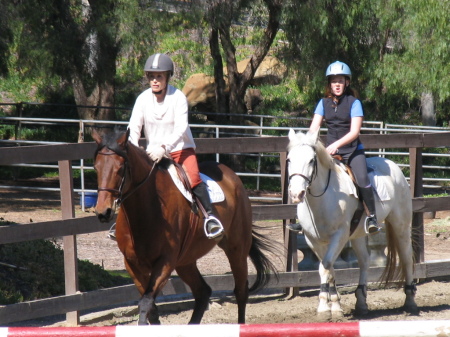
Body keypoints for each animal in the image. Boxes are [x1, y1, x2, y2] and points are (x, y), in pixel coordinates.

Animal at [92, 129, 276, 322]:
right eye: (96, 167)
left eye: (120, 168)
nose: (103, 212)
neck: (147, 210)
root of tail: (231, 175)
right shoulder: (132, 264)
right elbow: (151, 308)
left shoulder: (165, 262)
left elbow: (145, 303)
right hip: (185, 261)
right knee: (203, 291)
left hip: (236, 248)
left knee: (240, 291)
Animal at [288, 129, 418, 320]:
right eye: (289, 159)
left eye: (311, 160)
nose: (296, 194)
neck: (322, 198)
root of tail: (392, 165)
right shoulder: (314, 240)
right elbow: (329, 269)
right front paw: (335, 306)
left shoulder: (340, 236)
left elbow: (325, 268)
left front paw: (324, 309)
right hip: (357, 234)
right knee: (364, 261)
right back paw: (361, 303)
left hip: (400, 224)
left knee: (407, 258)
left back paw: (410, 302)